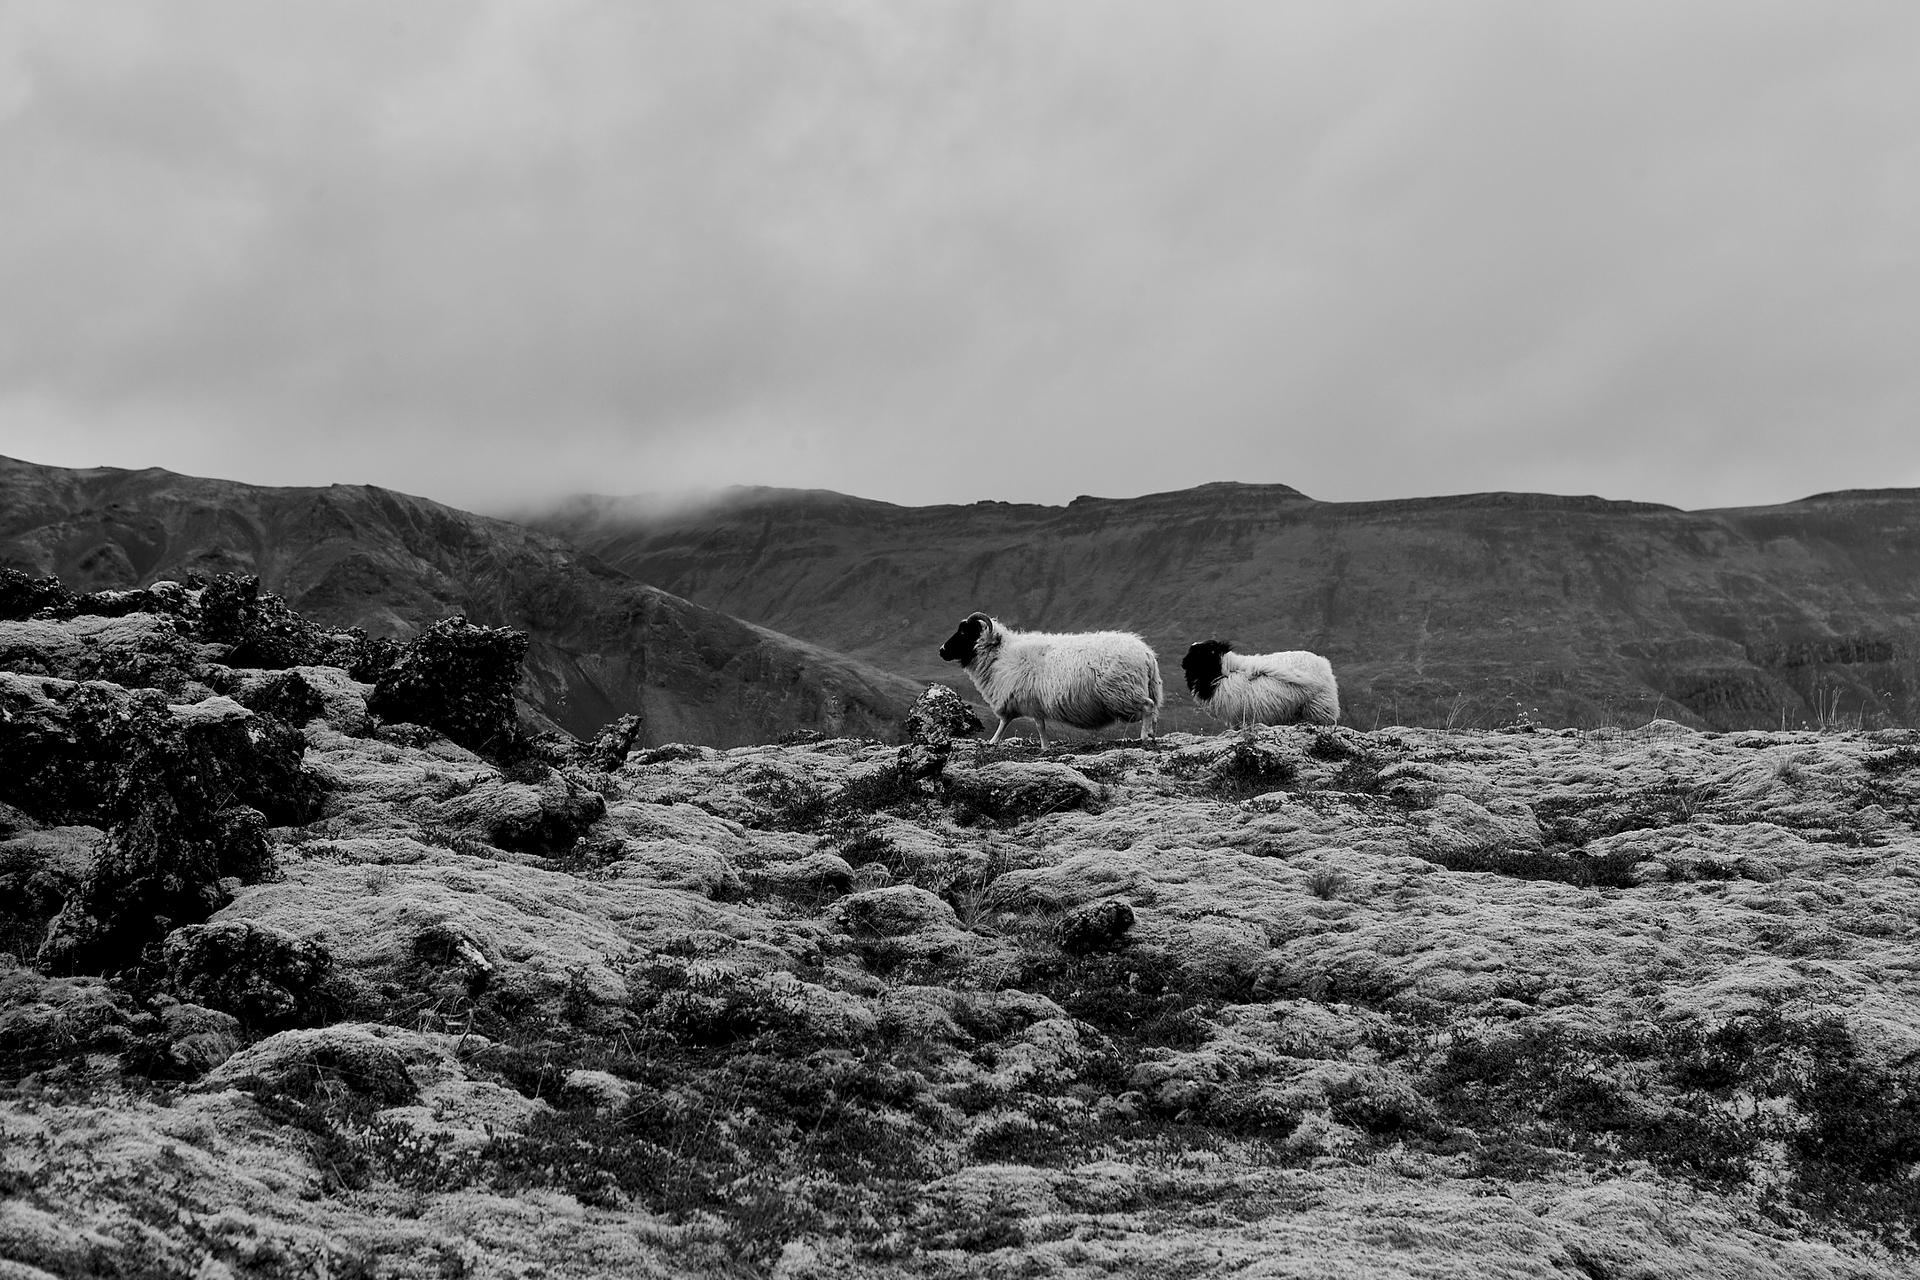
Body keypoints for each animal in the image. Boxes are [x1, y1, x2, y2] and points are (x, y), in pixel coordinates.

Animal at [936, 614, 1159, 752]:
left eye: (964, 632)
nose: (941, 650)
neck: (1000, 654)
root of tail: (1147, 654)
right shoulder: (1028, 700)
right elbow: (1017, 722)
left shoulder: (1026, 699)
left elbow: (1023, 723)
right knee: (1154, 711)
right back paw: (1152, 734)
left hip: (1124, 691)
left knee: (1148, 706)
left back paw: (1144, 737)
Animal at [1175, 640, 1344, 729]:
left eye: (1199, 652)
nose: (1182, 663)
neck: (1223, 671)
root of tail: (1323, 663)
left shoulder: (1239, 716)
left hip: (1319, 706)